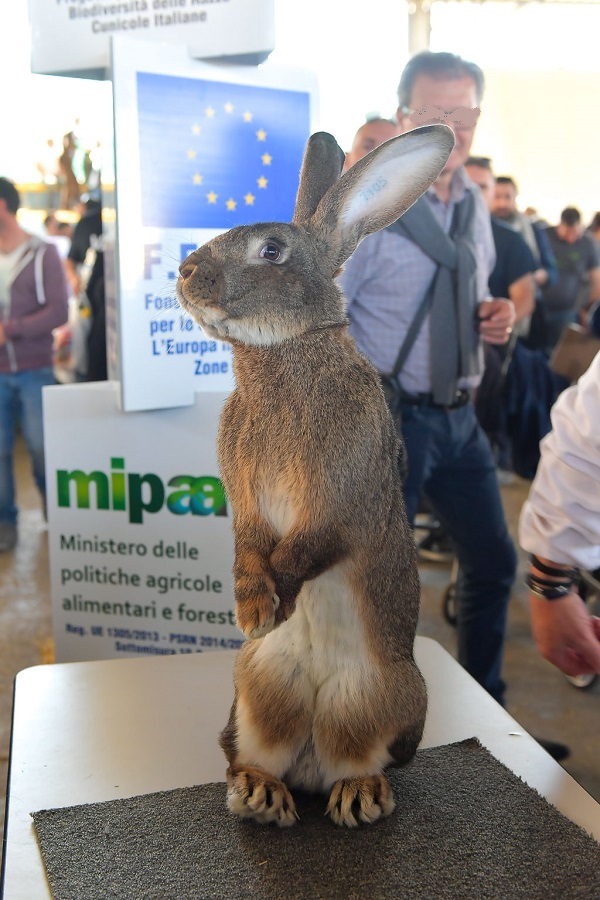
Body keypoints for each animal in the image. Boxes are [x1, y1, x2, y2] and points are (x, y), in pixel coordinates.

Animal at [176, 123, 452, 828]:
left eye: (271, 250)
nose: (184, 273)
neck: (285, 355)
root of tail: (309, 765)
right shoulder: (242, 494)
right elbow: (249, 541)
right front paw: (253, 609)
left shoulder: (343, 495)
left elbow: (308, 544)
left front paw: (271, 603)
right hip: (256, 692)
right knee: (254, 753)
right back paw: (261, 794)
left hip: (385, 700)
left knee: (359, 758)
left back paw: (358, 797)